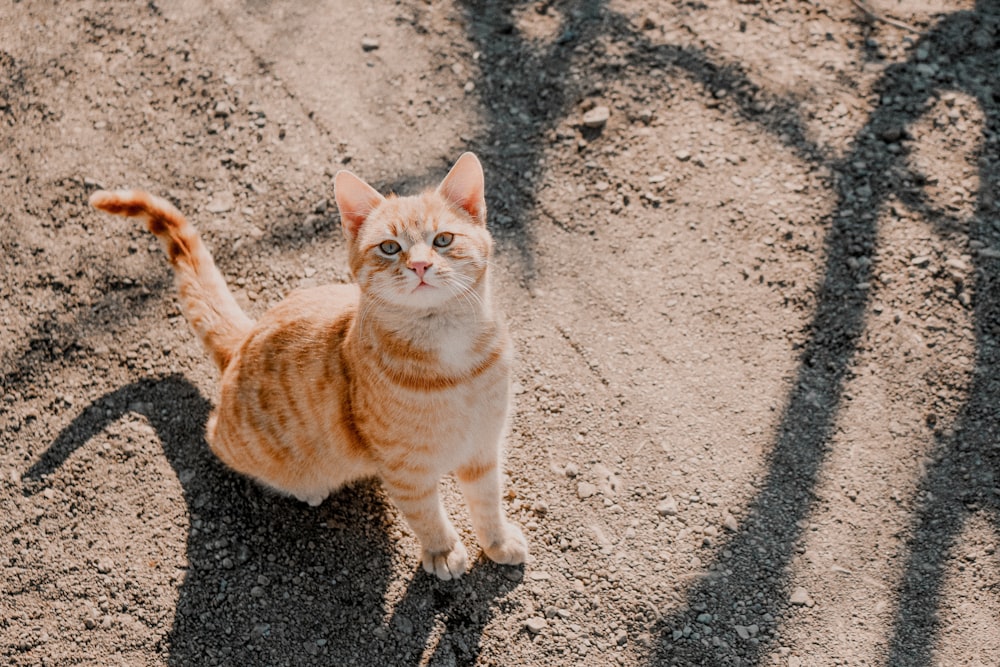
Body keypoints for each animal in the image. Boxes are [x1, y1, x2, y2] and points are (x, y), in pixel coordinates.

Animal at [90, 154, 528, 580]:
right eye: (389, 247)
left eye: (443, 240)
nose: (420, 265)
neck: (452, 358)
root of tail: (246, 337)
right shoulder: (405, 470)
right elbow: (426, 514)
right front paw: (442, 550)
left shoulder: (483, 447)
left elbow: (488, 501)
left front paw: (497, 541)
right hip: (246, 445)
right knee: (214, 436)